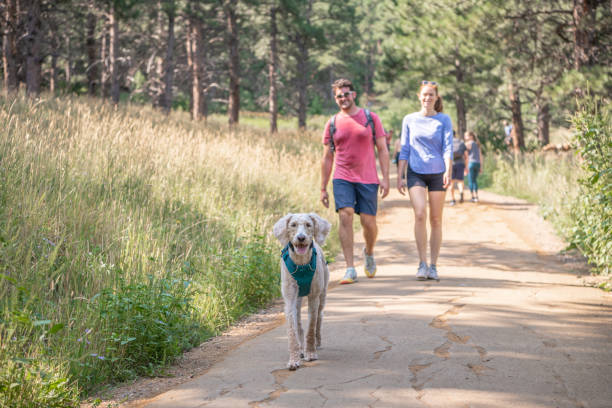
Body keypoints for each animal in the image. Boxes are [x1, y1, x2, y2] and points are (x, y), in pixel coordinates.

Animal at [272, 214, 330, 370]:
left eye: (308, 225)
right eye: (293, 225)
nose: (301, 237)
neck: (301, 264)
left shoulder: (314, 297)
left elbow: (311, 326)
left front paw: (310, 353)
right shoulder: (290, 299)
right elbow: (292, 330)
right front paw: (294, 359)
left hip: (322, 295)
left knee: (319, 317)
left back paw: (317, 341)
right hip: (297, 300)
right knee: (298, 323)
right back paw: (301, 348)